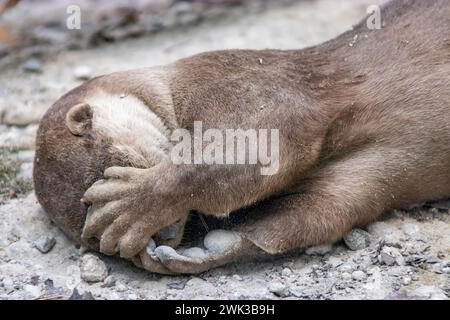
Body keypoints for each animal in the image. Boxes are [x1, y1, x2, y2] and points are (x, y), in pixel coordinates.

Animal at [34, 0, 450, 276]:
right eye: (92, 243)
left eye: (120, 167)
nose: (164, 234)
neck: (171, 87)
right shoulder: (363, 179)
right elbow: (318, 215)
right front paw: (199, 253)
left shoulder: (246, 84)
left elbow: (249, 150)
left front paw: (131, 203)